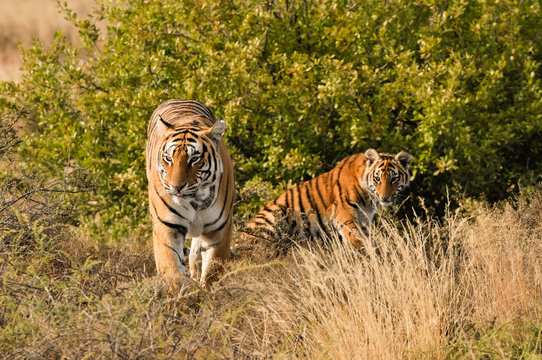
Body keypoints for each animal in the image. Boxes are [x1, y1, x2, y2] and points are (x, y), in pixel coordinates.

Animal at [147, 99, 236, 290]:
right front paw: (180, 295)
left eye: (194, 159)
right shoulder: (167, 227)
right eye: (169, 158)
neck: (196, 201)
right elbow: (172, 272)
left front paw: (208, 294)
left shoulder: (219, 229)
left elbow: (212, 273)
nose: (176, 187)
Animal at [243, 149, 412, 248]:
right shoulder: (344, 216)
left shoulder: (364, 220)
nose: (385, 197)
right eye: (377, 179)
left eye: (393, 179)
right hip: (271, 217)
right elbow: (356, 239)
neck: (369, 199)